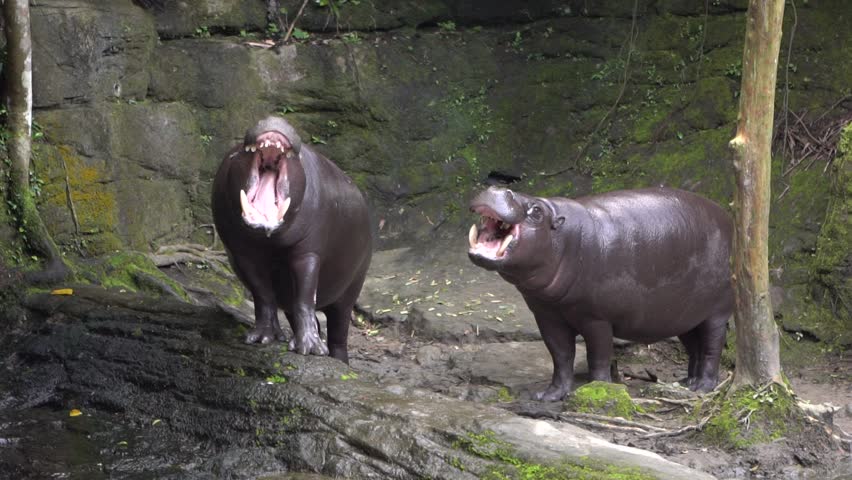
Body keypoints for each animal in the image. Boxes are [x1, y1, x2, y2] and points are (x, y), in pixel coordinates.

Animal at [211, 116, 372, 363]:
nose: (275, 118)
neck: (268, 239)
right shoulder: (243, 254)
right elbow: (263, 294)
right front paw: (261, 338)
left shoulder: (308, 253)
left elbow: (305, 298)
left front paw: (311, 349)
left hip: (350, 290)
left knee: (338, 333)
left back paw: (337, 360)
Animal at [467, 186, 733, 401]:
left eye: (536, 211)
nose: (497, 188)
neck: (562, 237)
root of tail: (727, 218)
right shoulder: (547, 315)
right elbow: (561, 357)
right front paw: (549, 395)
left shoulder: (597, 319)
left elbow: (598, 357)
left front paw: (598, 390)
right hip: (684, 315)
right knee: (694, 346)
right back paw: (687, 382)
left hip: (717, 313)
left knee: (712, 348)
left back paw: (702, 387)